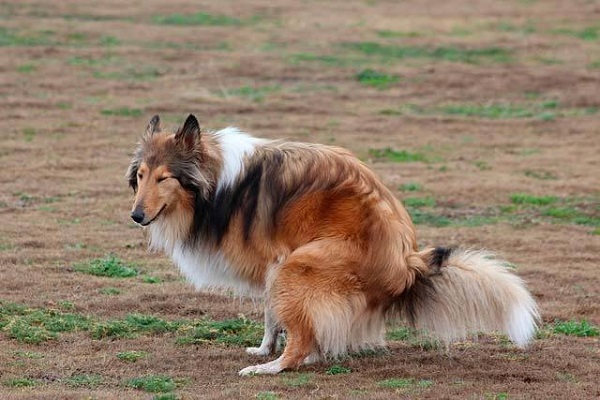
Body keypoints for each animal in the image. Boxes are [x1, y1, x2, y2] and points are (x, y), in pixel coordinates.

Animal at [125, 113, 540, 376]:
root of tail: (407, 264)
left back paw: (269, 367)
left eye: (164, 178)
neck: (218, 180)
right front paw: (263, 346)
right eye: (141, 175)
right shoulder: (272, 269)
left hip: (298, 265)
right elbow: (272, 317)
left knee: (299, 346)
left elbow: (272, 314)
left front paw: (266, 354)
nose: (136, 216)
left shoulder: (275, 262)